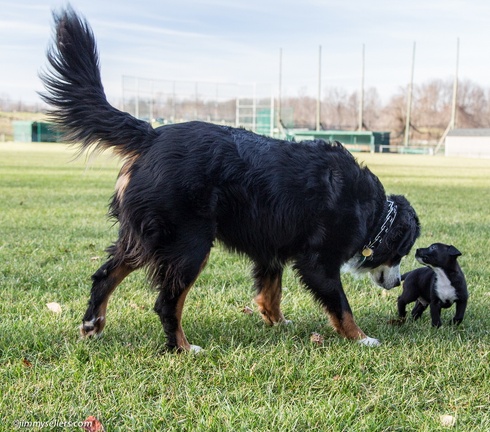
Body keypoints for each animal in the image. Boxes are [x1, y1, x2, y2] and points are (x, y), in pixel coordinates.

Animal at [40, 6, 420, 352]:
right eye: (402, 251)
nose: (399, 281)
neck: (369, 209)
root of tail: (152, 136)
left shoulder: (271, 248)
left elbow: (270, 292)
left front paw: (277, 321)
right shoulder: (318, 262)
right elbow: (341, 306)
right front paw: (361, 338)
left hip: (144, 237)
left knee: (105, 275)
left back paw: (93, 325)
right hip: (188, 243)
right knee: (166, 303)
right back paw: (182, 347)